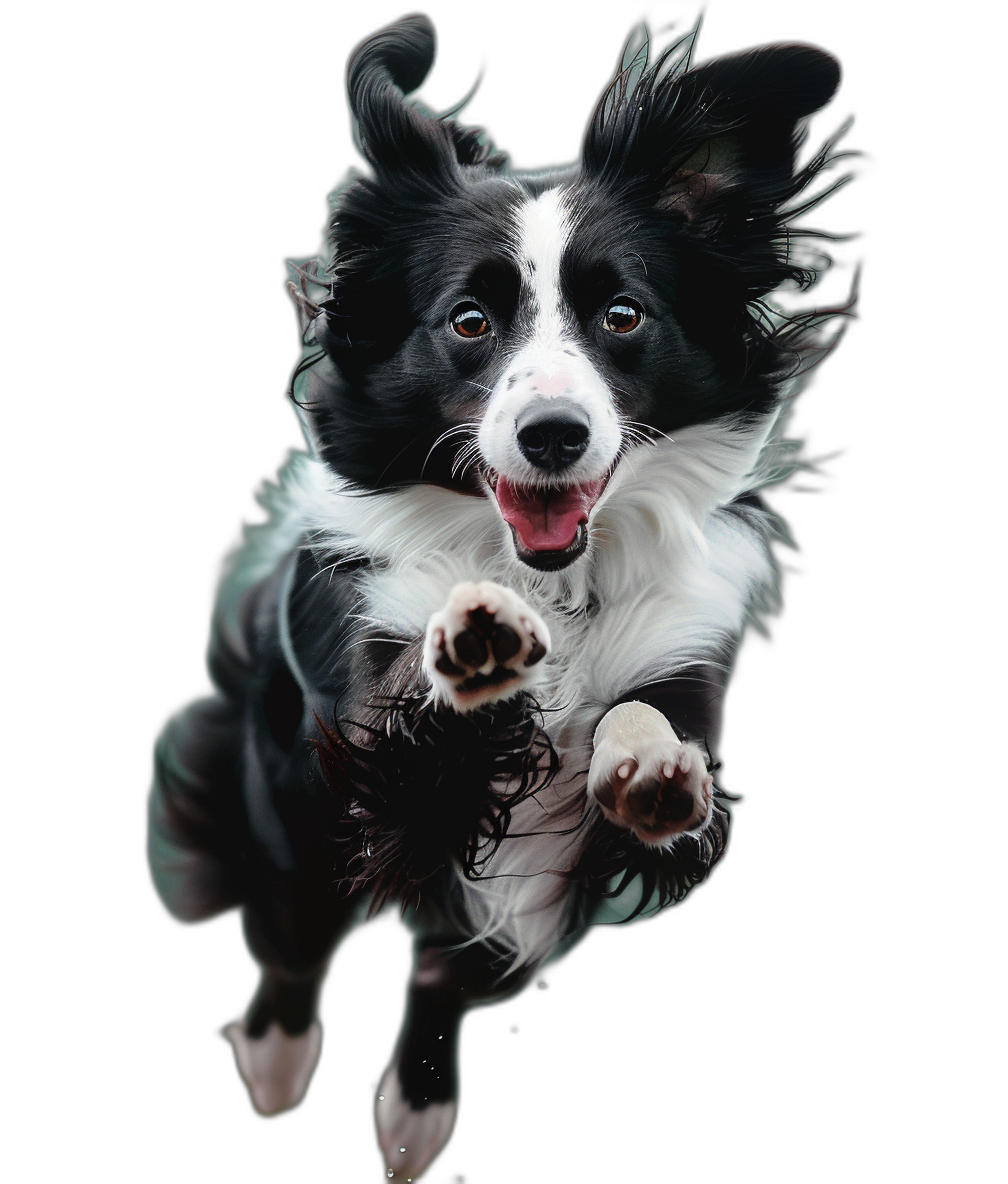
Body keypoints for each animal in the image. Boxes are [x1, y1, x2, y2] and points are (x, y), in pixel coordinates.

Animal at [145, 16, 848, 1174]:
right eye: (469, 321)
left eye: (623, 314)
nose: (553, 434)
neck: (547, 581)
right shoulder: (361, 734)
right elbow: (413, 721)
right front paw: (472, 645)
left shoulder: (677, 678)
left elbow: (647, 737)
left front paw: (650, 769)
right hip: (284, 806)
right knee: (292, 930)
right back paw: (279, 1060)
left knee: (445, 964)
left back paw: (416, 1108)